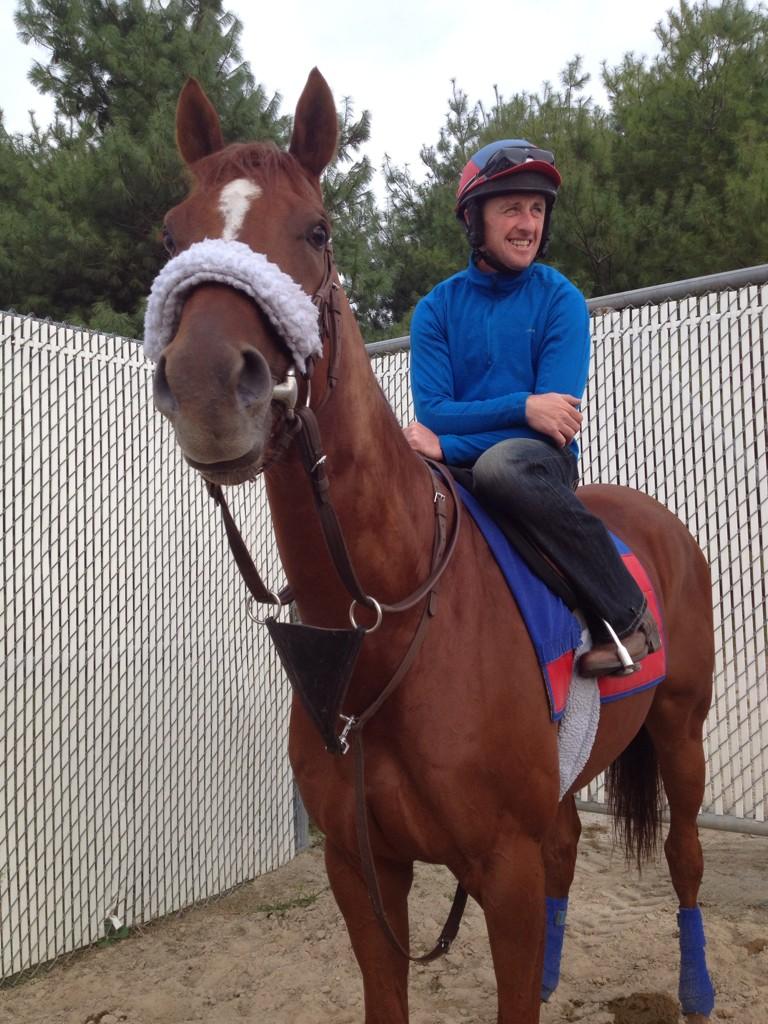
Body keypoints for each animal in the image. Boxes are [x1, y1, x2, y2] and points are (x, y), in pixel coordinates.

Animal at [145, 69, 716, 1023]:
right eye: (172, 233)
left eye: (317, 230)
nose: (207, 385)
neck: (387, 629)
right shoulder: (362, 871)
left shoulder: (504, 872)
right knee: (571, 841)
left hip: (680, 727)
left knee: (685, 857)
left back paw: (696, 985)